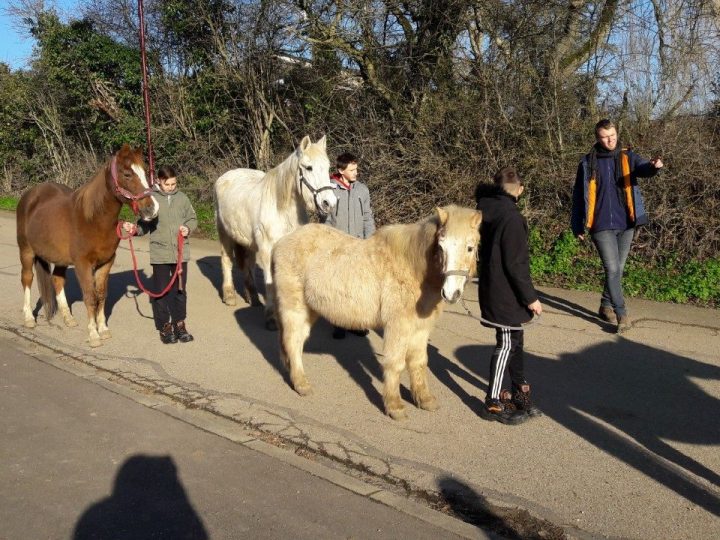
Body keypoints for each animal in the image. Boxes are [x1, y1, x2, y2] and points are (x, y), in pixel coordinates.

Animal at [15, 143, 159, 346]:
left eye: (145, 172)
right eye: (127, 174)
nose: (152, 209)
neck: (93, 219)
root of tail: (30, 195)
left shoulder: (106, 263)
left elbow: (101, 295)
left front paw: (103, 329)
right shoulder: (83, 264)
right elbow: (90, 297)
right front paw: (93, 334)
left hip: (59, 258)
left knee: (57, 280)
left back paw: (68, 318)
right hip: (26, 251)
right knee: (27, 278)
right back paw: (28, 318)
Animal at [214, 135, 338, 330]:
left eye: (327, 167)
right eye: (308, 167)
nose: (329, 203)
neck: (282, 210)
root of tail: (226, 176)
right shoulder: (267, 249)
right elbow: (270, 282)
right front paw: (271, 317)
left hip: (248, 242)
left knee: (248, 264)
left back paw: (253, 297)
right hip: (224, 233)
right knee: (227, 260)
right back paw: (229, 295)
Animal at [272, 205, 480, 420]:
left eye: (470, 248)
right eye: (441, 246)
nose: (451, 293)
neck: (412, 270)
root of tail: (281, 243)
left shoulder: (420, 329)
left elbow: (419, 362)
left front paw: (424, 400)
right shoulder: (397, 327)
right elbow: (395, 363)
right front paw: (395, 407)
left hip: (309, 309)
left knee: (296, 342)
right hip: (294, 308)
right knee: (292, 342)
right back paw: (301, 384)